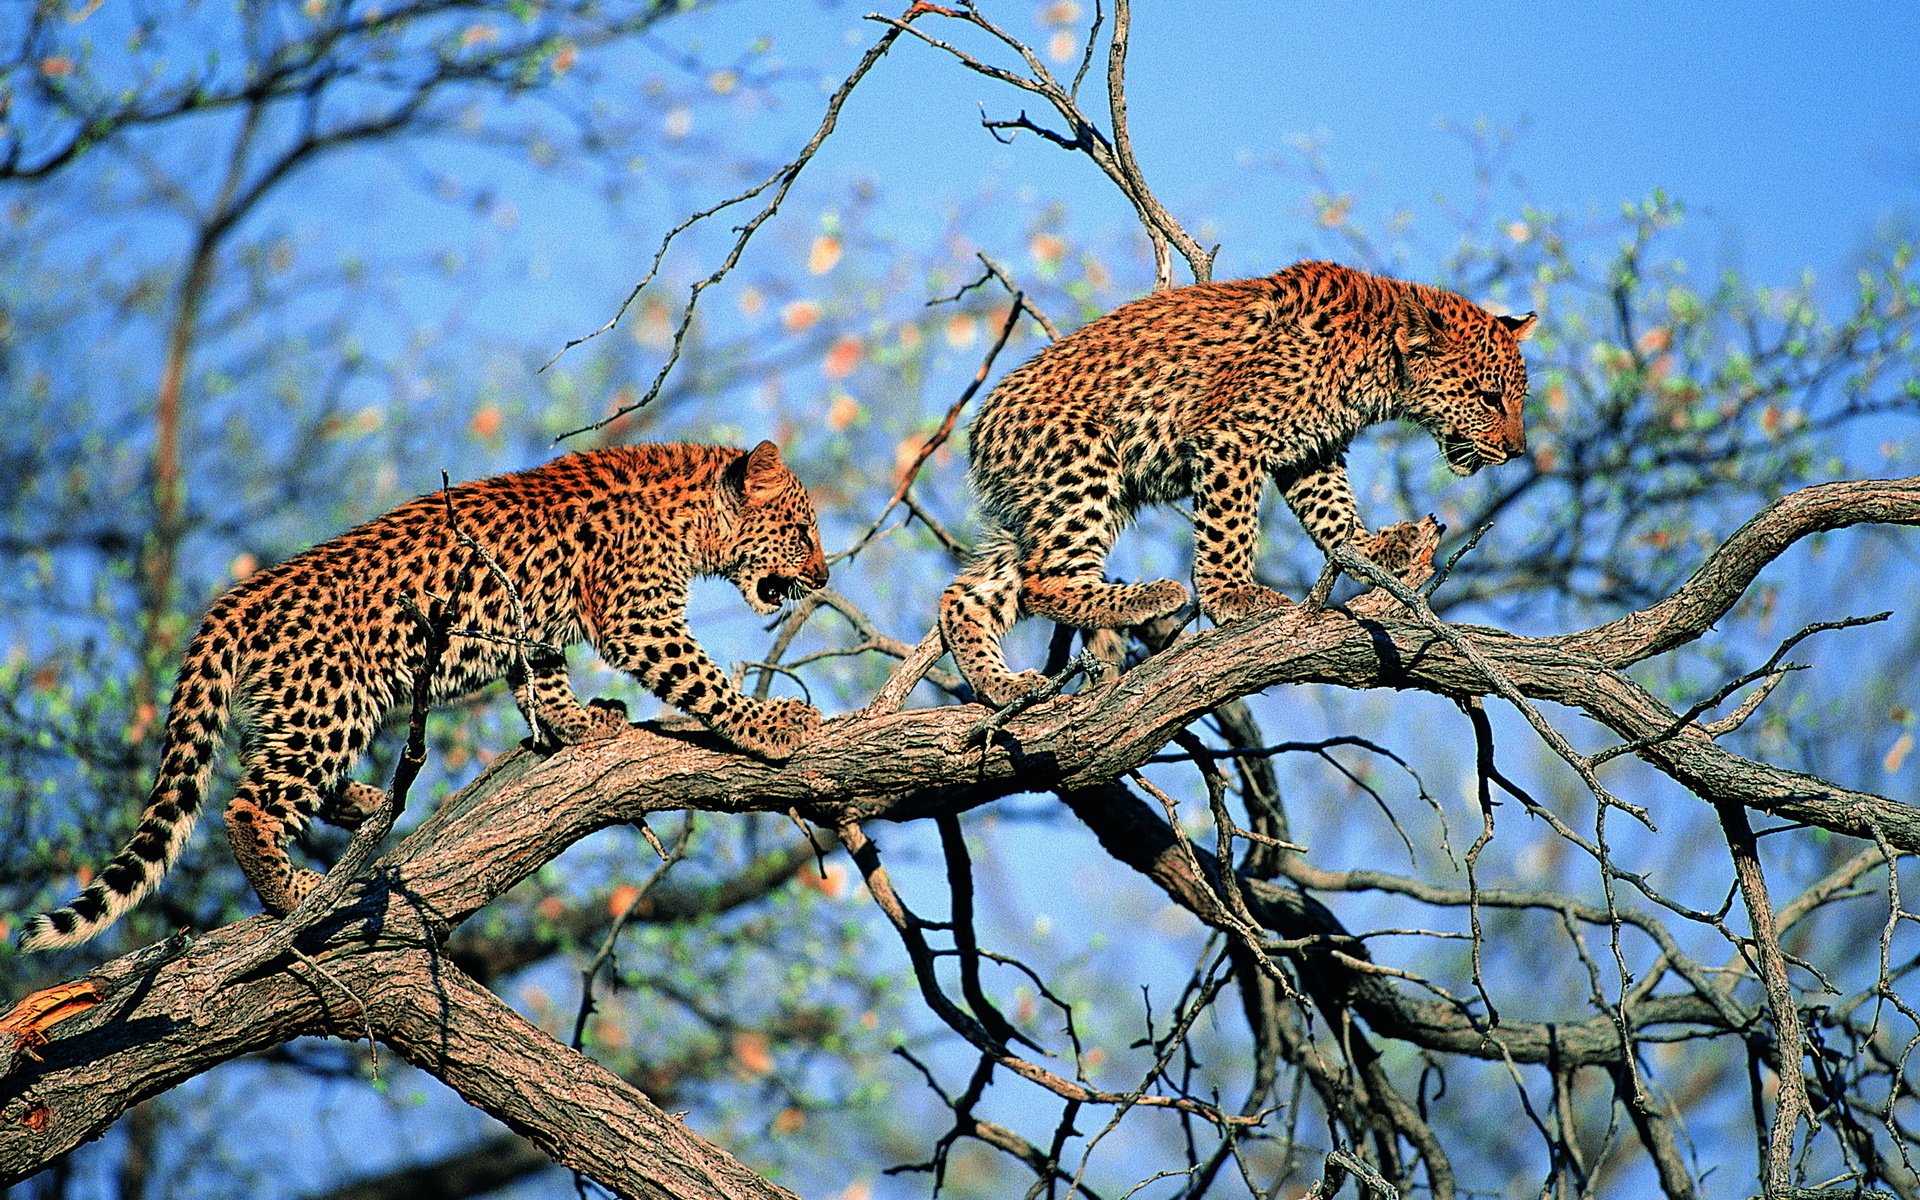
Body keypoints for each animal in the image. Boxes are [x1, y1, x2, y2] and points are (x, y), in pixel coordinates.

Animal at [20, 435, 833, 948]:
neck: (691, 519)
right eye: (800, 531)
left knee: (277, 774)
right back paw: (292, 892)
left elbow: (542, 678)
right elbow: (700, 678)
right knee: (249, 803)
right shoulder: (639, 618)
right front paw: (769, 725)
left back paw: (367, 803)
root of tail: (239, 599)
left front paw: (579, 724)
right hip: (330, 702)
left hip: (302, 707)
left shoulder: (534, 626)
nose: (824, 576)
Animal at [936, 259, 1536, 702]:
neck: (1379, 367)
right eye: (1489, 398)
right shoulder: (1232, 436)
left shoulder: (1311, 450)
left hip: (1045, 502)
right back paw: (1149, 597)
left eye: (1519, 400)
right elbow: (1229, 526)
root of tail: (979, 428)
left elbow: (1333, 513)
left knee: (965, 595)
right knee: (1043, 580)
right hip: (1083, 466)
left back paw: (1001, 687)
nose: (1516, 450)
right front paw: (1232, 595)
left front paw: (1376, 549)